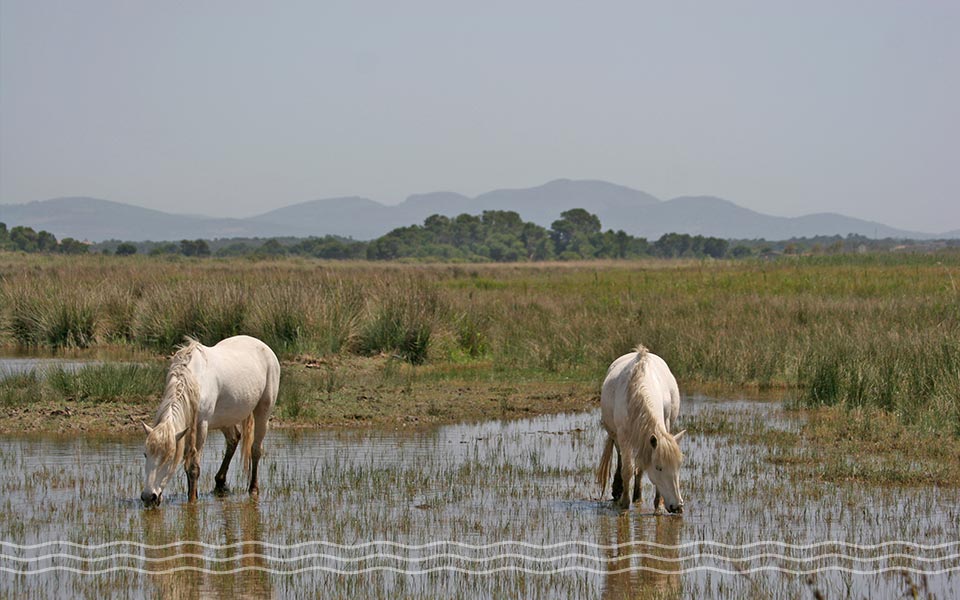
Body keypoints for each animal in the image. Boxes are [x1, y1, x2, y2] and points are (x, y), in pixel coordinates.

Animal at [142, 336, 282, 504]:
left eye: (169, 458)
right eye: (145, 454)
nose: (148, 496)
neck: (193, 379)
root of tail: (264, 347)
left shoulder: (201, 425)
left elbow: (193, 467)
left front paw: (192, 501)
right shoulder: (187, 428)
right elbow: (188, 463)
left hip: (263, 411)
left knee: (256, 449)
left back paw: (253, 489)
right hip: (225, 418)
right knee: (234, 439)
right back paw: (220, 482)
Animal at [596, 344, 688, 512]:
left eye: (678, 466)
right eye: (659, 468)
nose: (677, 506)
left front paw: (658, 504)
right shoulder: (624, 436)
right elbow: (627, 469)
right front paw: (625, 503)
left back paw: (637, 496)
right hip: (617, 437)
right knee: (621, 458)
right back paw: (618, 490)